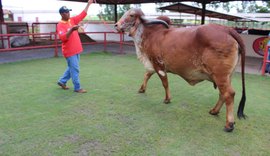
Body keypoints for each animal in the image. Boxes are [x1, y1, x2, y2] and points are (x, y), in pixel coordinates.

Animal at [115, 7, 246, 131]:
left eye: (131, 15)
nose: (116, 25)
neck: (150, 34)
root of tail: (227, 29)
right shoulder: (152, 65)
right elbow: (146, 75)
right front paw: (142, 89)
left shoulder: (159, 65)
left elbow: (165, 83)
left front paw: (167, 99)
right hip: (226, 76)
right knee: (222, 94)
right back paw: (214, 111)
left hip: (219, 75)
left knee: (229, 94)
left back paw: (229, 124)